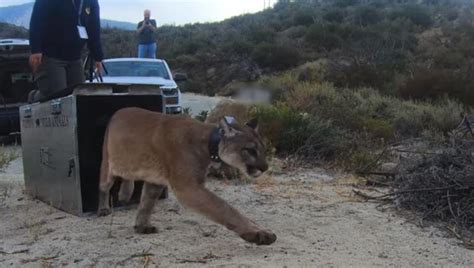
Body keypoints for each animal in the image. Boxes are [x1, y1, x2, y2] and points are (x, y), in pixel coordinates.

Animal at [96, 107, 276, 245]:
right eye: (250, 150)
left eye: (263, 149)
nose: (265, 167)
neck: (208, 143)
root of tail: (118, 111)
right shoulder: (188, 186)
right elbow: (225, 207)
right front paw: (258, 233)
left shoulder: (157, 182)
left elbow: (147, 203)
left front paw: (141, 226)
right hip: (107, 164)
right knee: (104, 186)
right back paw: (104, 208)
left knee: (128, 175)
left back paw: (125, 193)